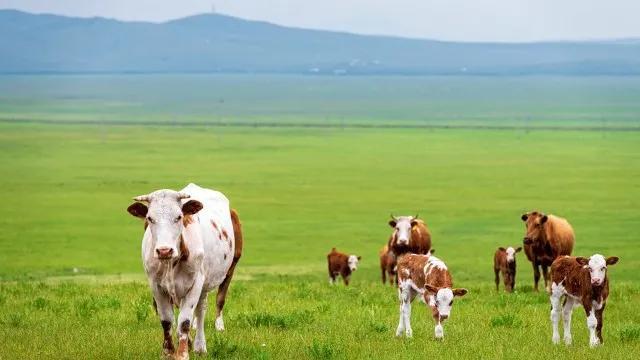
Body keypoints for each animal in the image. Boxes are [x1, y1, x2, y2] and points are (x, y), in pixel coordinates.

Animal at [127, 184, 242, 358]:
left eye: (179, 217)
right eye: (150, 218)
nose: (164, 250)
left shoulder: (195, 283)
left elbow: (185, 321)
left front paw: (182, 354)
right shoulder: (156, 285)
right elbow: (167, 320)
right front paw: (168, 352)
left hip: (227, 271)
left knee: (207, 307)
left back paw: (203, 342)